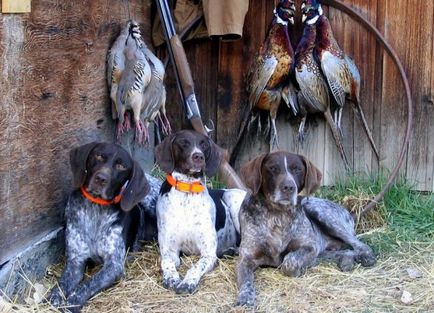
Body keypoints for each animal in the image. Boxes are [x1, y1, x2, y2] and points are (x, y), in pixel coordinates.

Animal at [236, 151, 374, 304]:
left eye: (297, 169)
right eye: (272, 168)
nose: (289, 187)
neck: (277, 215)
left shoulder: (310, 247)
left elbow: (289, 261)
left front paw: (297, 269)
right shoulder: (246, 258)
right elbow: (246, 281)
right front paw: (245, 297)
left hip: (318, 210)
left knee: (361, 246)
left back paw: (366, 258)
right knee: (344, 252)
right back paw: (346, 261)